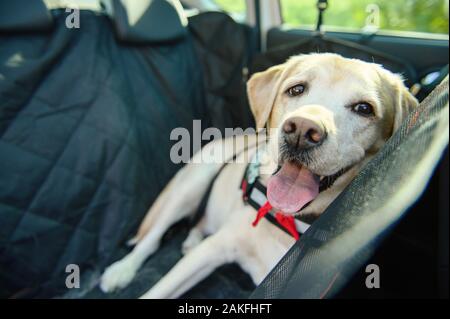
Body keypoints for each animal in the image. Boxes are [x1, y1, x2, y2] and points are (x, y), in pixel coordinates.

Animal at [100, 53, 416, 300]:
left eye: (364, 108)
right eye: (296, 89)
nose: (302, 130)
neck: (287, 219)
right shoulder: (213, 249)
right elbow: (158, 290)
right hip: (193, 183)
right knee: (151, 239)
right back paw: (121, 270)